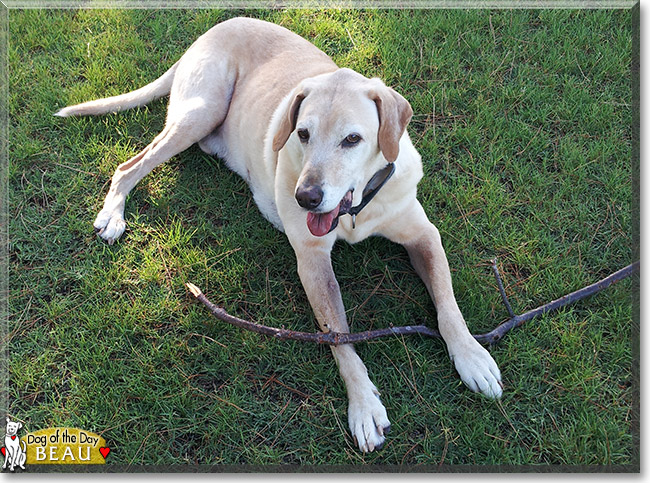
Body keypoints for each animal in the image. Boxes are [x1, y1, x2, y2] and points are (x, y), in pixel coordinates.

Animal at [55, 16, 502, 454]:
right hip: (202, 109)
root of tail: (216, 27)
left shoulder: (424, 236)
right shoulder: (313, 260)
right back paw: (113, 213)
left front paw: (472, 357)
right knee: (128, 166)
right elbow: (340, 336)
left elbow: (448, 305)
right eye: (302, 134)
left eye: (352, 139)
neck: (356, 211)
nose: (306, 198)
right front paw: (363, 404)